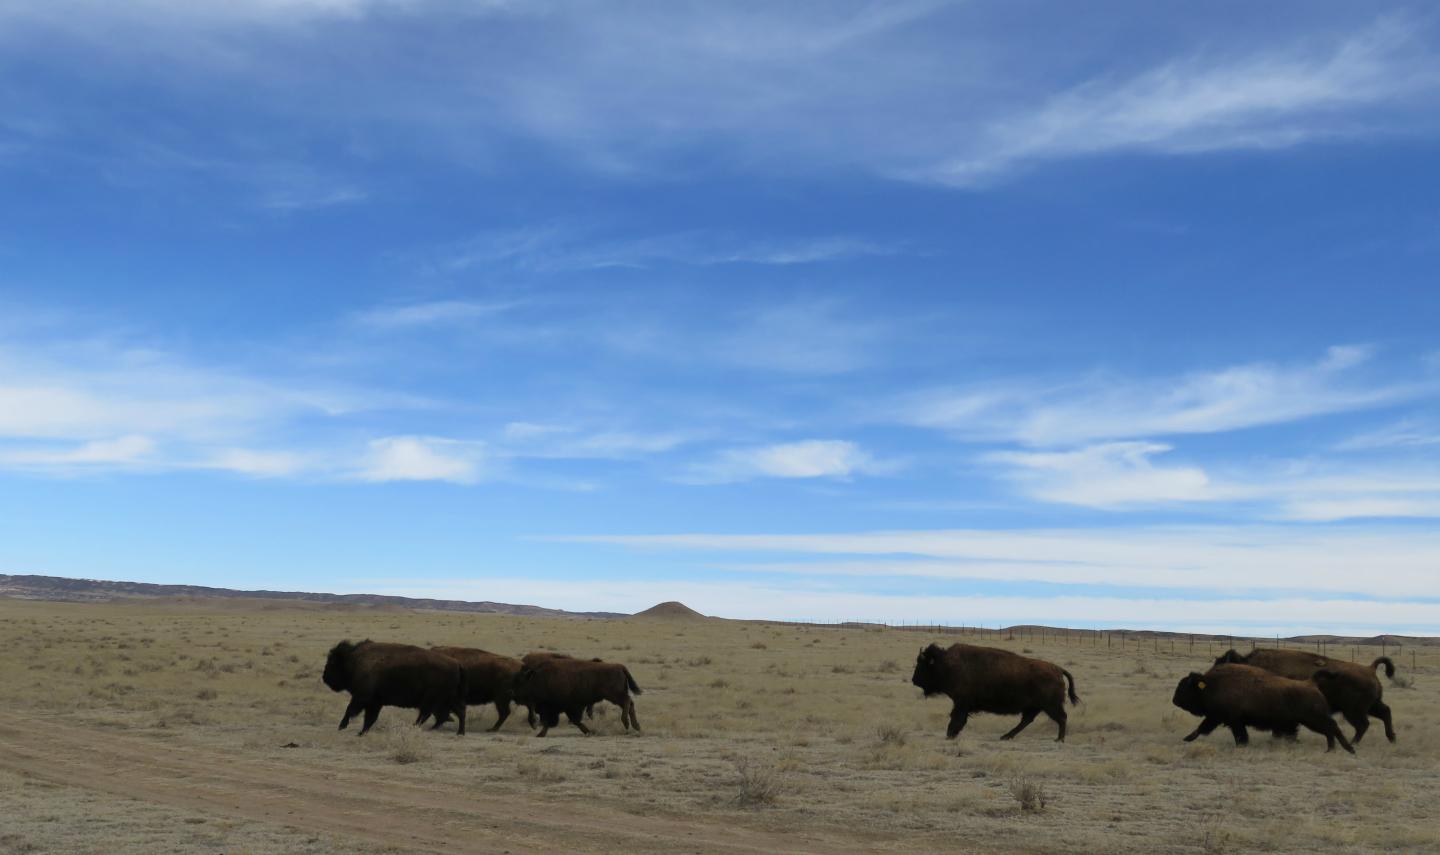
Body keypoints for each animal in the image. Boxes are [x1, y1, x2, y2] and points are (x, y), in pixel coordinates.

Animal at [322, 640, 467, 736]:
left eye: (332, 662)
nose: (325, 677)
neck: (354, 660)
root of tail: (456, 664)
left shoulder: (362, 697)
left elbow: (350, 710)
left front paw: (342, 727)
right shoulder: (375, 702)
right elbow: (370, 718)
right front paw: (361, 732)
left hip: (433, 699)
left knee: (429, 714)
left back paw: (416, 727)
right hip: (448, 699)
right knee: (456, 712)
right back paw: (458, 732)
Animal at [512, 658, 642, 737]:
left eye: (521, 683)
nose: (516, 697)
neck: (538, 679)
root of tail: (619, 666)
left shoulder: (563, 707)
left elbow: (571, 720)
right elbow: (573, 721)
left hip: (614, 695)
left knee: (627, 701)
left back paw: (626, 723)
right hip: (616, 695)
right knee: (630, 703)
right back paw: (636, 726)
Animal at [910, 643, 1079, 741]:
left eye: (923, 664)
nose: (914, 680)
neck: (946, 663)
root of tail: (1058, 669)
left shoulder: (961, 703)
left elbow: (956, 718)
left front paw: (950, 734)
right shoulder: (962, 704)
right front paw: (951, 734)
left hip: (1050, 706)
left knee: (1061, 718)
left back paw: (1059, 739)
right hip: (1035, 707)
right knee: (1026, 720)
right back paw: (1006, 736)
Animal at [1173, 664, 1354, 753]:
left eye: (1185, 686)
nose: (1174, 700)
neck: (1212, 684)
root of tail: (1310, 682)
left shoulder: (1231, 720)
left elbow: (1238, 736)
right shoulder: (1217, 718)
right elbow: (1202, 728)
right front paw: (1186, 738)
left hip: (1314, 720)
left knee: (1332, 728)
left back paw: (1343, 749)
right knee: (1331, 729)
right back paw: (1335, 749)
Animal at [1215, 648, 1396, 743]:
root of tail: (1369, 668)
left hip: (1353, 711)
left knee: (1363, 724)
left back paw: (1353, 742)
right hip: (1371, 706)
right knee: (1385, 712)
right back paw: (1391, 738)